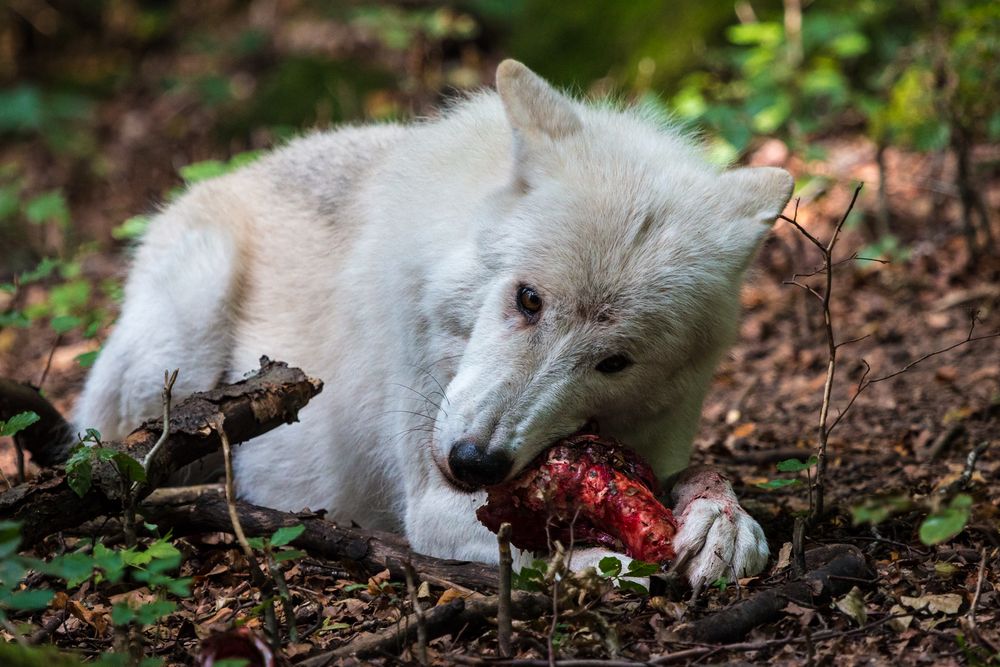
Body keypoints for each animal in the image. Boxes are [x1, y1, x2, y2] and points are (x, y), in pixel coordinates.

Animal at [76, 60, 788, 588]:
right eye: (529, 300)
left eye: (615, 363)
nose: (475, 463)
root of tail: (231, 172)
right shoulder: (431, 503)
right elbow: (566, 554)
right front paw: (607, 561)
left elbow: (702, 478)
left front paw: (724, 522)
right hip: (185, 329)